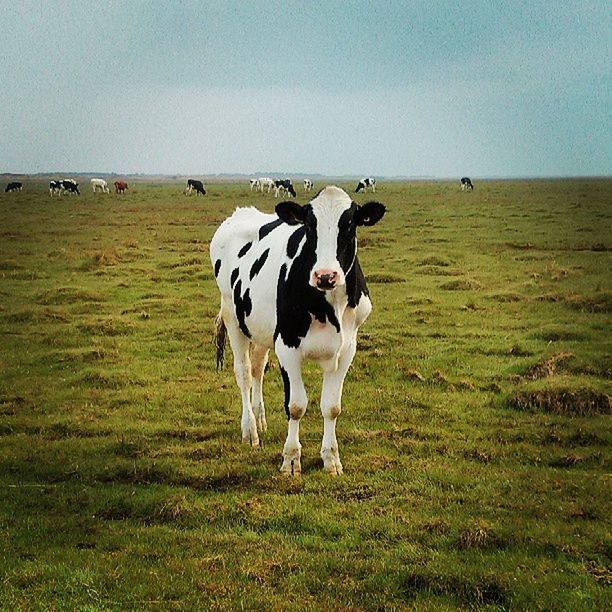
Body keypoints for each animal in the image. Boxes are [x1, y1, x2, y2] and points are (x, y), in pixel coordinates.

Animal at [208, 185, 384, 474]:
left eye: (349, 225)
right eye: (310, 225)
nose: (325, 276)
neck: (329, 307)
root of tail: (240, 213)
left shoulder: (347, 348)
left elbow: (332, 407)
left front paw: (331, 459)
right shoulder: (287, 346)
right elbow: (296, 406)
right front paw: (291, 459)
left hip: (261, 329)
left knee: (257, 368)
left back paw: (260, 419)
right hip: (233, 319)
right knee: (244, 374)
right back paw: (250, 430)